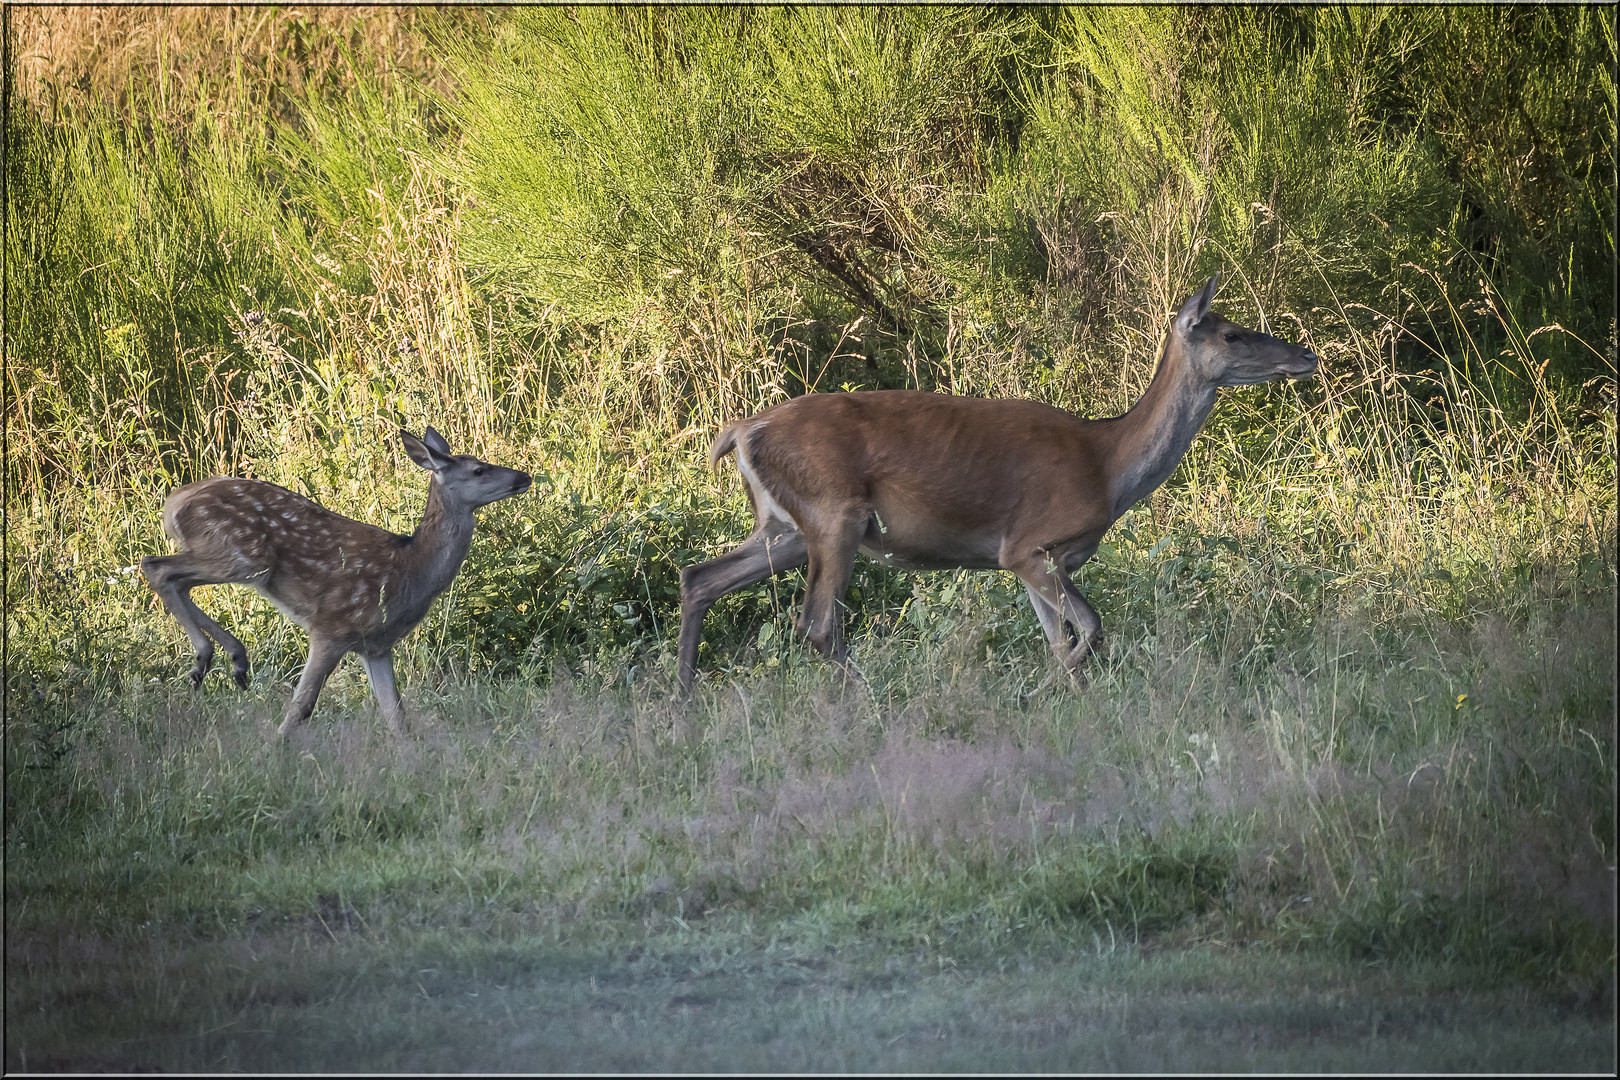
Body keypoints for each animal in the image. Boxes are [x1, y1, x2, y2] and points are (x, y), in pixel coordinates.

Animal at [140, 427, 531, 738]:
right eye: (479, 469)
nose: (524, 476)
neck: (410, 570)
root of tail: (173, 503)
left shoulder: (376, 646)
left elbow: (396, 715)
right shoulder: (332, 627)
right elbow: (301, 706)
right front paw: (271, 752)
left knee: (173, 577)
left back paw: (233, 659)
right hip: (242, 556)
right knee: (156, 566)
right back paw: (204, 659)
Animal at [677, 278, 1321, 693]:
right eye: (1232, 334)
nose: (1306, 355)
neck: (1108, 464)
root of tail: (740, 431)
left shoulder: (1044, 561)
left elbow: (1060, 640)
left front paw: (1067, 699)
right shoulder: (1027, 545)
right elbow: (1091, 629)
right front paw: (1050, 692)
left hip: (784, 527)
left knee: (700, 576)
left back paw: (684, 700)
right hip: (834, 512)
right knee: (816, 624)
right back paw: (870, 705)